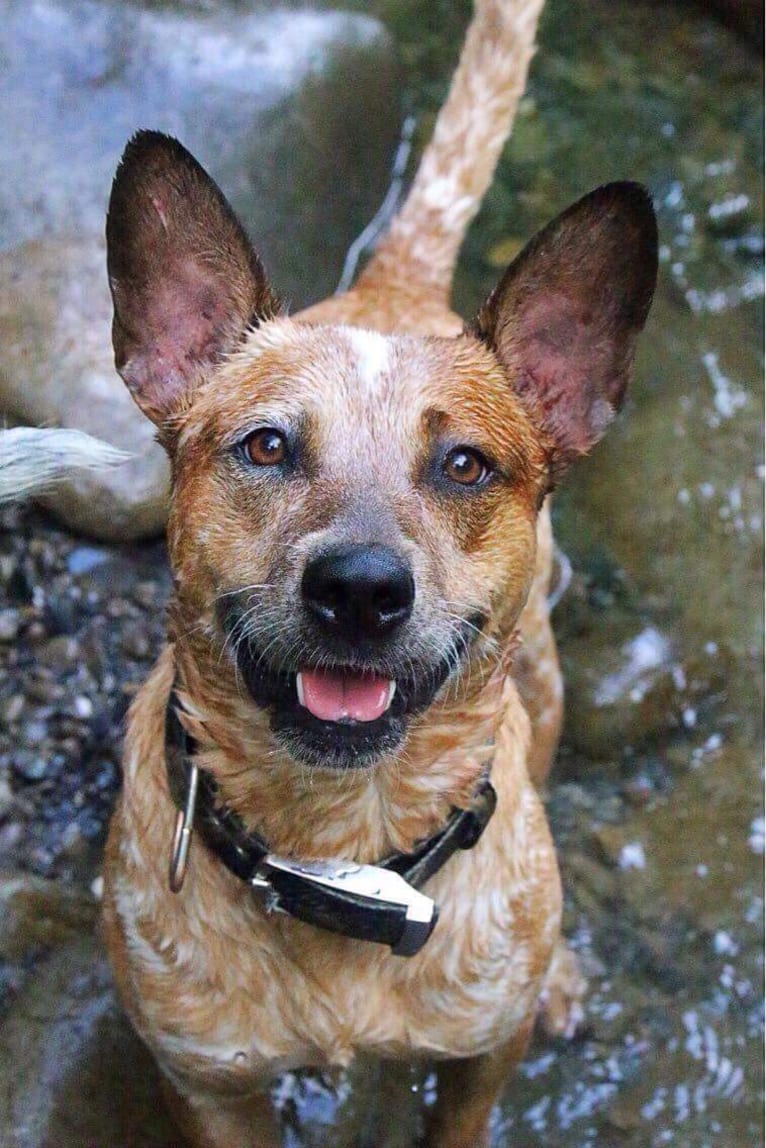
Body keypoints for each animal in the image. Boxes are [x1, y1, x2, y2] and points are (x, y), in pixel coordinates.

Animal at [98, 0, 656, 1143]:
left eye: (464, 464)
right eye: (266, 446)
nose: (358, 587)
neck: (340, 847)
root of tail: (394, 283)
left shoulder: (483, 1057)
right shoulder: (208, 1084)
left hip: (543, 680)